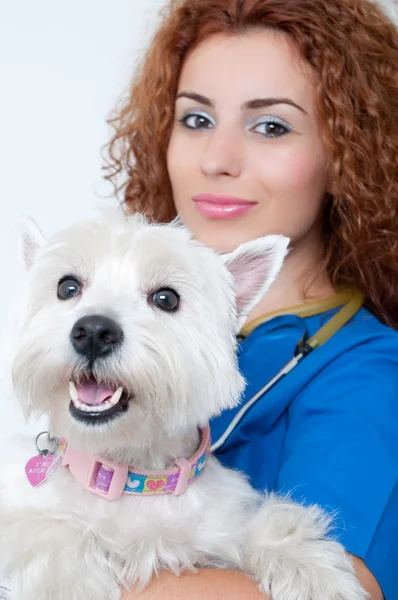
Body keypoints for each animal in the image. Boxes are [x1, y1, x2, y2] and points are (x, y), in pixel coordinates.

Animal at [0, 211, 366, 600]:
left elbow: (270, 529)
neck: (133, 474)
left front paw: (316, 574)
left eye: (166, 298)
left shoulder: (219, 527)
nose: (94, 332)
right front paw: (70, 584)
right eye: (67, 288)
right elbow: (51, 532)